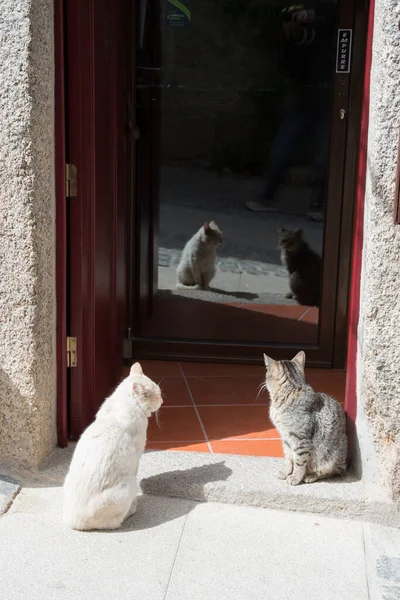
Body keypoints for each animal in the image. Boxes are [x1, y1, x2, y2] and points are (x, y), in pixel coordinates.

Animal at [62, 364, 162, 532]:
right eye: (158, 395)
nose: (162, 400)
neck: (121, 404)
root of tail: (75, 523)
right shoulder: (137, 457)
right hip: (129, 484)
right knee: (115, 522)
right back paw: (132, 508)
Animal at [262, 354, 346, 486]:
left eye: (266, 370)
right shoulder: (286, 438)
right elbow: (289, 457)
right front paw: (286, 472)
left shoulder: (301, 440)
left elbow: (299, 462)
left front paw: (295, 477)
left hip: (330, 458)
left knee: (332, 471)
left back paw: (311, 475)